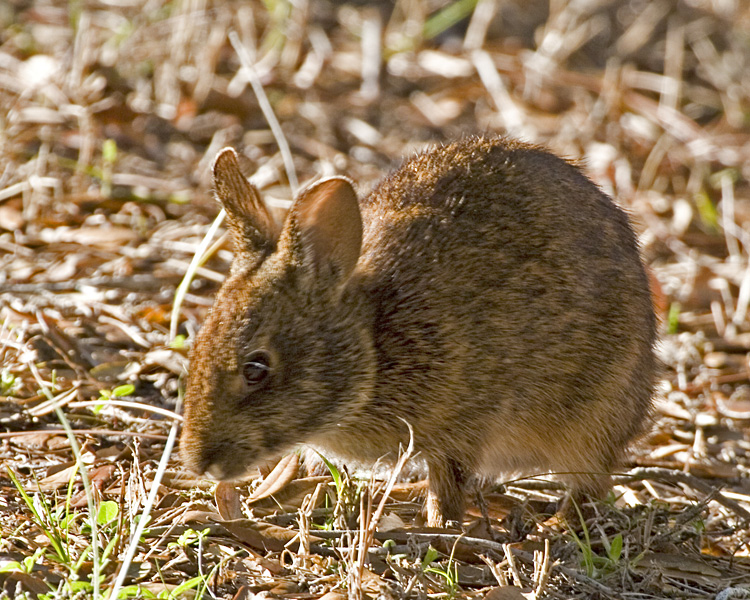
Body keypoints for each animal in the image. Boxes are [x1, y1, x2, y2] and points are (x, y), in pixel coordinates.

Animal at [181, 136, 656, 524]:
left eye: (256, 369)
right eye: (197, 347)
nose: (198, 463)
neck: (373, 347)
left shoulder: (465, 423)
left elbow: (448, 483)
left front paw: (439, 525)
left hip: (592, 417)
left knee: (591, 483)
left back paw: (556, 524)